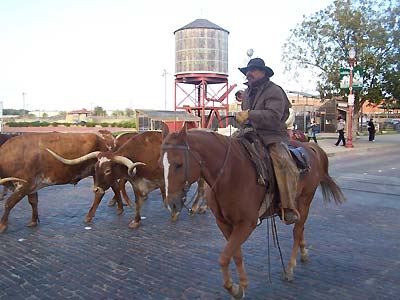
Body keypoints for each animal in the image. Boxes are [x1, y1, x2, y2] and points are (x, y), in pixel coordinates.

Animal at [161, 125, 346, 298]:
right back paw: (303, 252)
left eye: (179, 164)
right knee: (301, 228)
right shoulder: (224, 223)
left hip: (305, 200)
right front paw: (240, 286)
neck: (230, 174)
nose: (172, 204)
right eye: (161, 165)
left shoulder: (246, 224)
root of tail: (309, 147)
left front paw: (234, 288)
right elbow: (234, 254)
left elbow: (224, 257)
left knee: (297, 230)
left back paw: (290, 268)